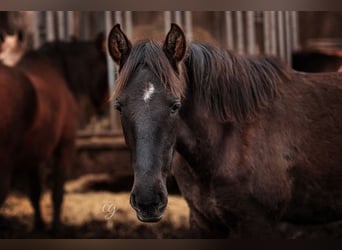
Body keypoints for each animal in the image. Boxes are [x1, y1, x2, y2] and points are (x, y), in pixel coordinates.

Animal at [107, 23, 342, 238]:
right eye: (119, 106)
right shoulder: (203, 221)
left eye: (175, 106)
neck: (228, 139)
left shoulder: (256, 223)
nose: (148, 201)